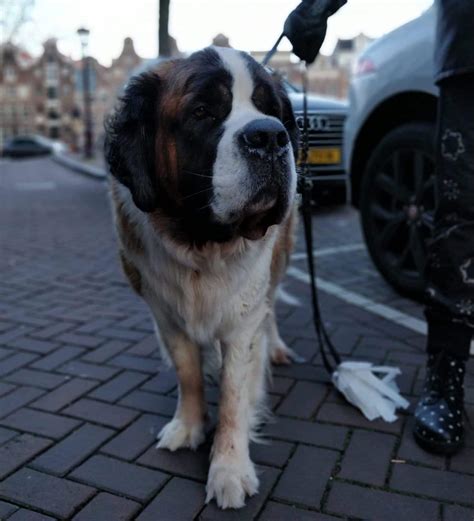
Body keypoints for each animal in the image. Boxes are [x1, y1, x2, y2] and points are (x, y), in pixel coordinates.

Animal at [106, 46, 300, 510]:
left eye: (272, 112)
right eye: (202, 112)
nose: (270, 136)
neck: (203, 245)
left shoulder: (243, 323)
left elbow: (233, 395)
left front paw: (228, 470)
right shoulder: (165, 316)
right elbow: (188, 373)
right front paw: (189, 426)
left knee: (273, 306)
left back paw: (276, 348)